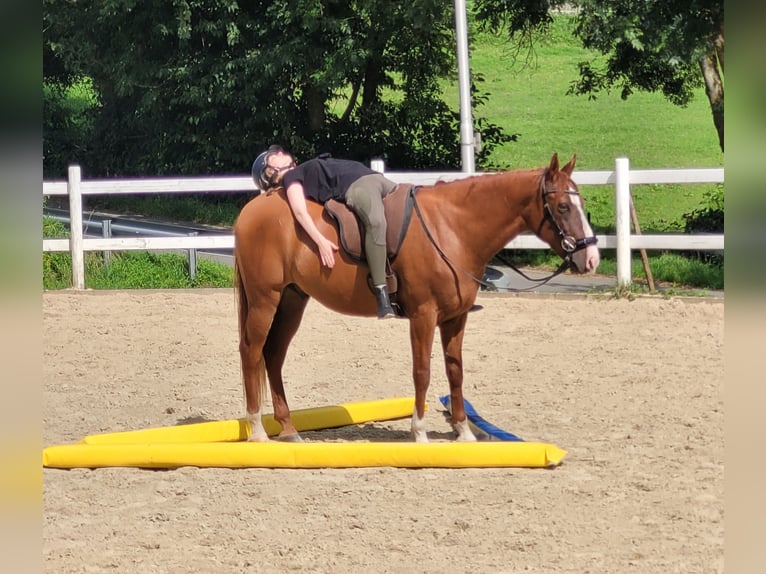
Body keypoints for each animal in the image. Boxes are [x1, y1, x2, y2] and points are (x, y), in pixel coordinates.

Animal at [233, 153, 600, 443]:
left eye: (580, 203)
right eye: (563, 206)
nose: (591, 258)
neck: (452, 226)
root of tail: (251, 209)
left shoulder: (455, 317)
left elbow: (455, 370)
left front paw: (463, 431)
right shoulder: (424, 315)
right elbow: (422, 371)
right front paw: (419, 431)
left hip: (293, 299)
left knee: (273, 355)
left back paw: (288, 429)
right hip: (265, 299)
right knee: (252, 351)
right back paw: (258, 430)